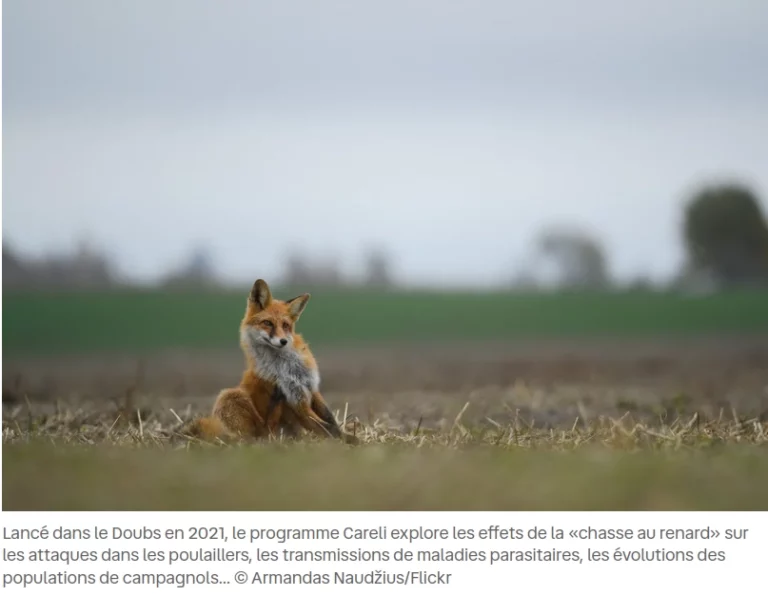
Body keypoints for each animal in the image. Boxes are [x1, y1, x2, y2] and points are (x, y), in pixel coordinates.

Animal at [183, 279, 355, 444]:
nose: (283, 341)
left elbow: (330, 420)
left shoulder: (310, 387)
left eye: (285, 325)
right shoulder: (295, 400)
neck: (289, 366)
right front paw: (349, 440)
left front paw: (348, 436)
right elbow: (325, 427)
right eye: (268, 323)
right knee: (256, 433)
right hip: (230, 395)